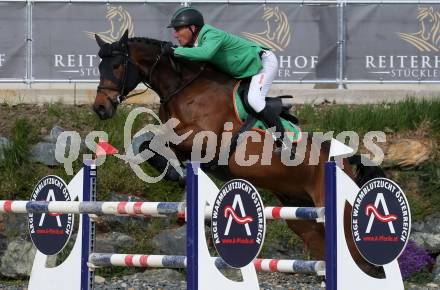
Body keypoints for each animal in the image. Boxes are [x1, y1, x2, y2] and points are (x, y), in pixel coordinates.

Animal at [93, 30, 384, 276]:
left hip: (336, 211)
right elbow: (145, 138)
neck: (183, 86)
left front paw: (174, 172)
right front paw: (173, 173)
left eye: (117, 66)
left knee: (357, 256)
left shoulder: (204, 138)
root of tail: (346, 161)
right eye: (99, 67)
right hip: (300, 213)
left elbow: (158, 138)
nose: (100, 108)